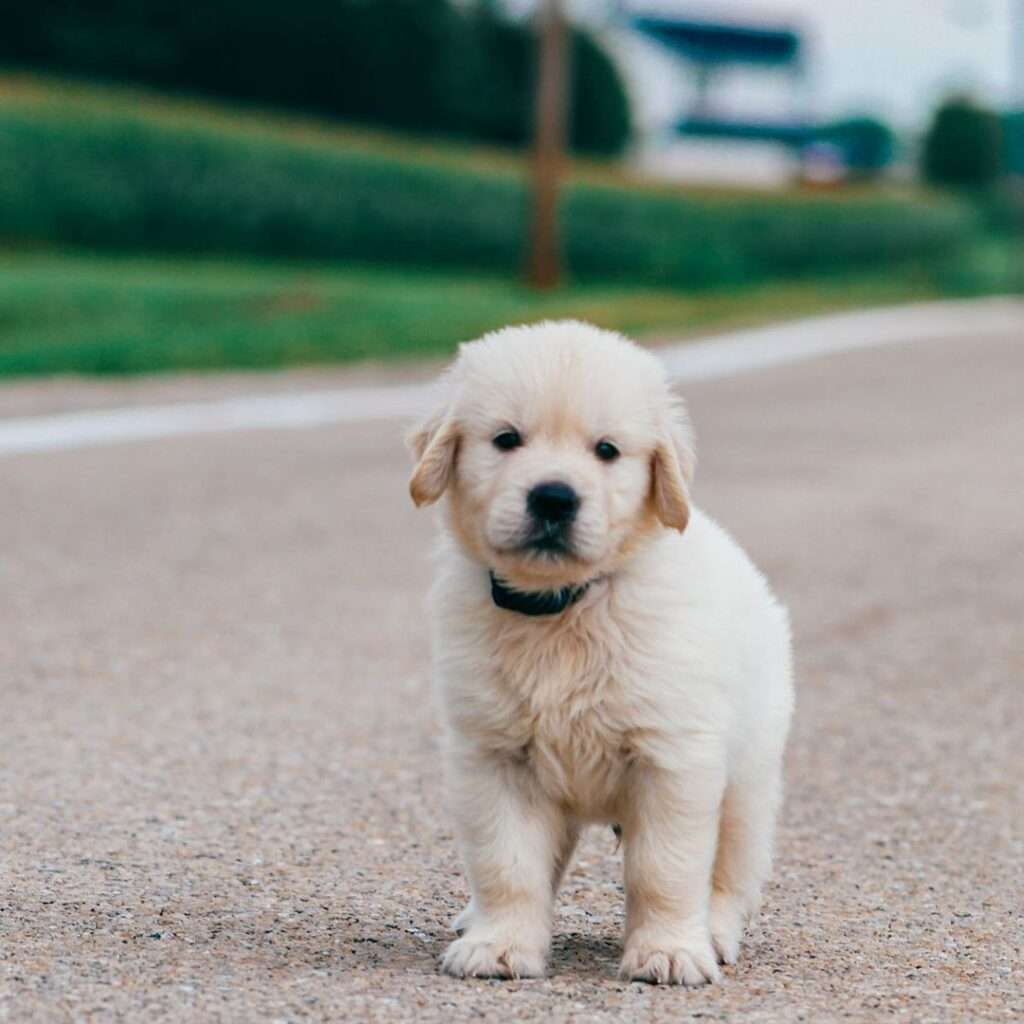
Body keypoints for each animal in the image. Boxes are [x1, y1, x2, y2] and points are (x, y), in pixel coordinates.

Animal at [407, 319, 790, 983]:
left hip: (748, 782)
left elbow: (664, 867)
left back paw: (713, 934)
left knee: (729, 874)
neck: (564, 608)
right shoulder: (494, 757)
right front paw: (500, 943)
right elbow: (508, 865)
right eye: (506, 439)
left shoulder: (674, 758)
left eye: (606, 450)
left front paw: (667, 950)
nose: (554, 498)